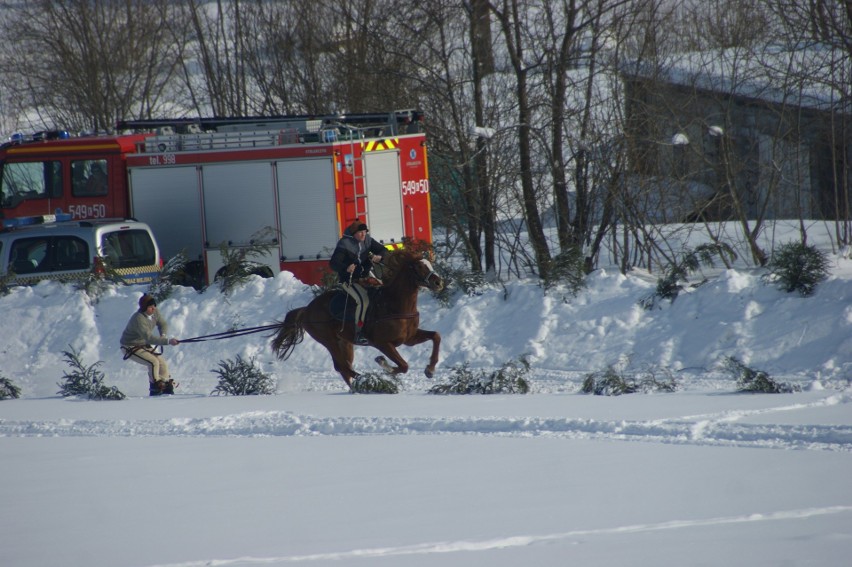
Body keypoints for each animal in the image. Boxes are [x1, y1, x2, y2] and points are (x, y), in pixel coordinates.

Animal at [272, 251, 446, 388]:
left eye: (430, 265)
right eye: (419, 267)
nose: (439, 282)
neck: (395, 304)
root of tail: (307, 309)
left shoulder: (409, 338)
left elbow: (436, 336)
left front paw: (430, 369)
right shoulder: (382, 343)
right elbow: (403, 365)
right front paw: (383, 364)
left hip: (345, 343)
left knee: (344, 367)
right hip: (329, 341)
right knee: (342, 366)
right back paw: (363, 380)